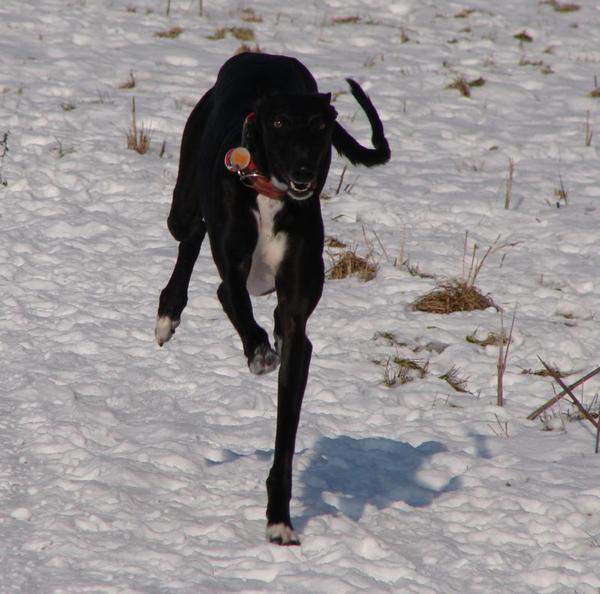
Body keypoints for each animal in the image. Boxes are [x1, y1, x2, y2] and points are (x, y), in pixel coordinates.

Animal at [156, 53, 390, 544]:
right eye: (279, 122)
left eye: (320, 126)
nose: (303, 173)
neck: (269, 196)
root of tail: (260, 55)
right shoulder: (232, 278)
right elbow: (237, 305)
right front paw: (259, 353)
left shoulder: (297, 326)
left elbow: (286, 430)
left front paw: (280, 519)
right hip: (184, 201)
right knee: (189, 234)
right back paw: (168, 313)